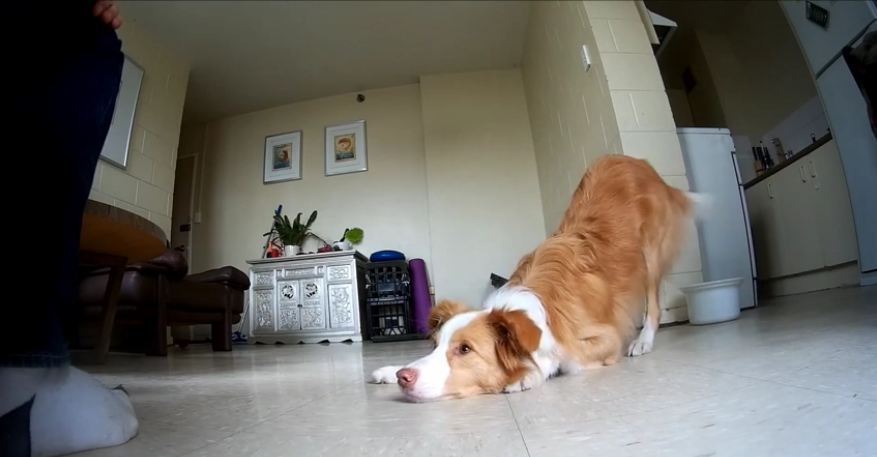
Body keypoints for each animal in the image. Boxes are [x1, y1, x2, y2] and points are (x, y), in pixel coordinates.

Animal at [372, 156, 696, 400]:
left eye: (465, 349)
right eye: (434, 345)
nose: (404, 377)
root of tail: (639, 161)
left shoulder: (606, 337)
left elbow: (566, 357)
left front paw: (529, 374)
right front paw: (389, 370)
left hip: (650, 255)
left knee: (654, 304)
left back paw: (643, 341)